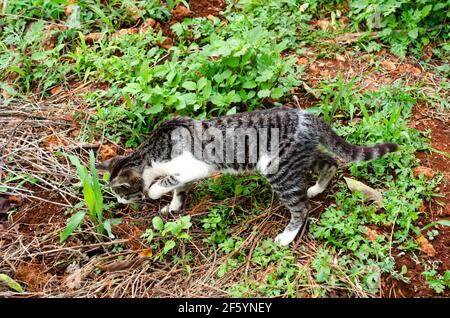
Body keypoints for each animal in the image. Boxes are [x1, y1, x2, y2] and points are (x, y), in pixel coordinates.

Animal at [96, 107, 398, 246]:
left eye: (121, 193)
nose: (120, 204)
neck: (152, 153)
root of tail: (306, 116)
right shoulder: (184, 174)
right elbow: (179, 188)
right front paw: (174, 206)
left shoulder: (195, 166)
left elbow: (163, 184)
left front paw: (155, 192)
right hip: (300, 158)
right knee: (330, 162)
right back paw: (317, 188)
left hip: (278, 169)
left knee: (301, 207)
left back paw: (287, 235)